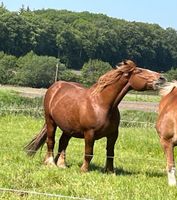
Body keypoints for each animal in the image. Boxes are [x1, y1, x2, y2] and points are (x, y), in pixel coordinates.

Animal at [24, 59, 166, 172]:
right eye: (139, 71)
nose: (162, 78)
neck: (101, 104)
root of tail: (55, 86)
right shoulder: (89, 133)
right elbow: (89, 153)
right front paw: (84, 170)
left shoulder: (113, 134)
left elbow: (110, 153)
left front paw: (110, 171)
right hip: (50, 121)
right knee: (51, 141)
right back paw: (50, 163)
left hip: (68, 128)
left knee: (63, 142)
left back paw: (62, 164)